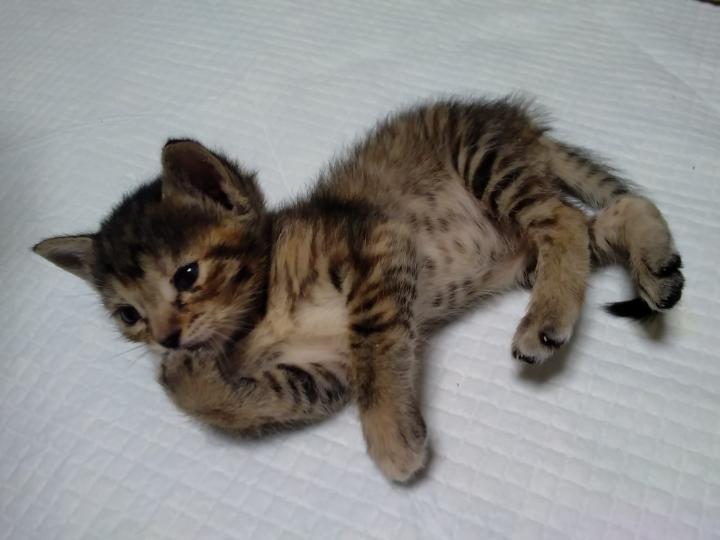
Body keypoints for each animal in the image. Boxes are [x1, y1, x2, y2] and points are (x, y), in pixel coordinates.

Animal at [34, 97, 684, 482]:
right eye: (127, 315)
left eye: (187, 275)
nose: (166, 338)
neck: (260, 316)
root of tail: (516, 121)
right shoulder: (322, 376)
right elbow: (231, 401)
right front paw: (184, 376)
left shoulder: (378, 245)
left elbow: (377, 349)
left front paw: (394, 440)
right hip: (520, 251)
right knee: (618, 210)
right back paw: (656, 264)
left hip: (484, 162)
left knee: (565, 220)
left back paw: (546, 320)